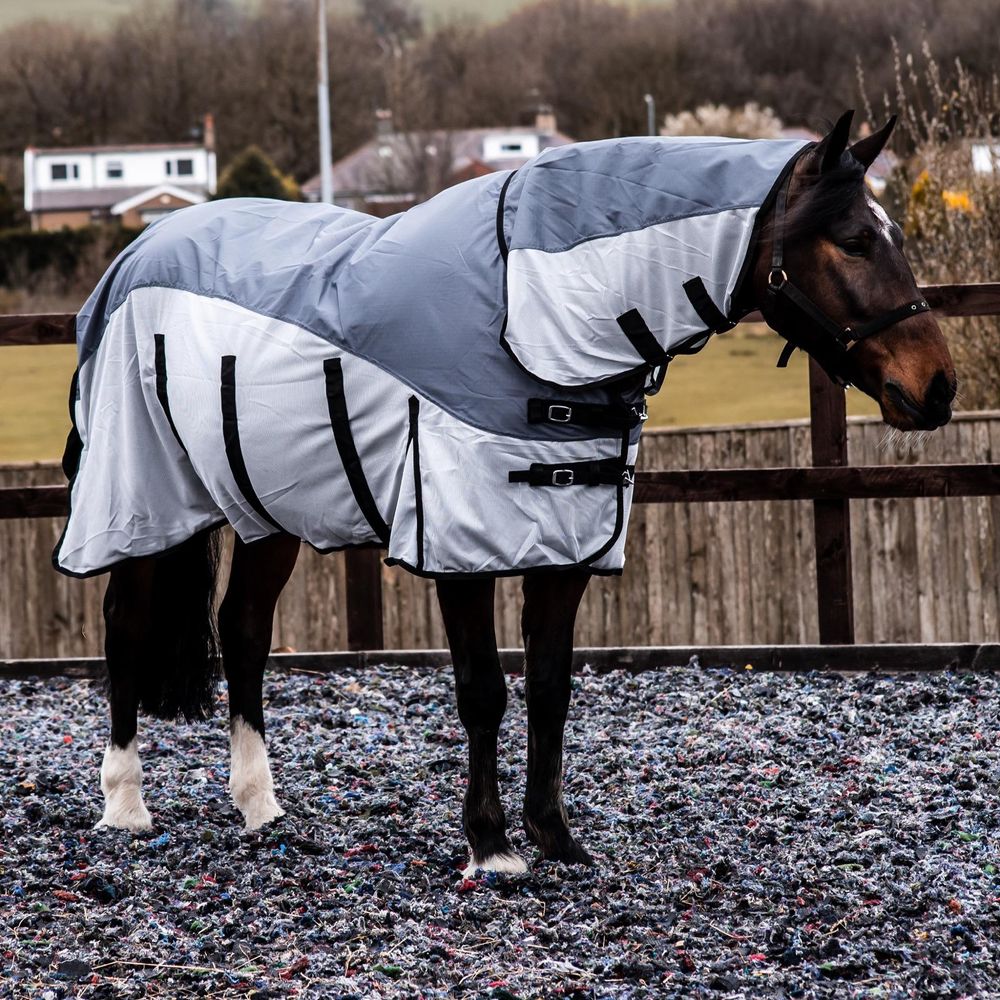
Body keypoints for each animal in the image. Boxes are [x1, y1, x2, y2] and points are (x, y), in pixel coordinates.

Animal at [52, 111, 952, 876]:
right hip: (143, 492)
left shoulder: (566, 545)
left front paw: (555, 836)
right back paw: (125, 806)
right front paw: (490, 846)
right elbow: (483, 692)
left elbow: (550, 689)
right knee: (124, 624)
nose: (937, 388)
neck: (527, 311)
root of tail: (135, 254)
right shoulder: (459, 546)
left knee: (243, 631)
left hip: (265, 510)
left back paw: (260, 806)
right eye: (854, 240)